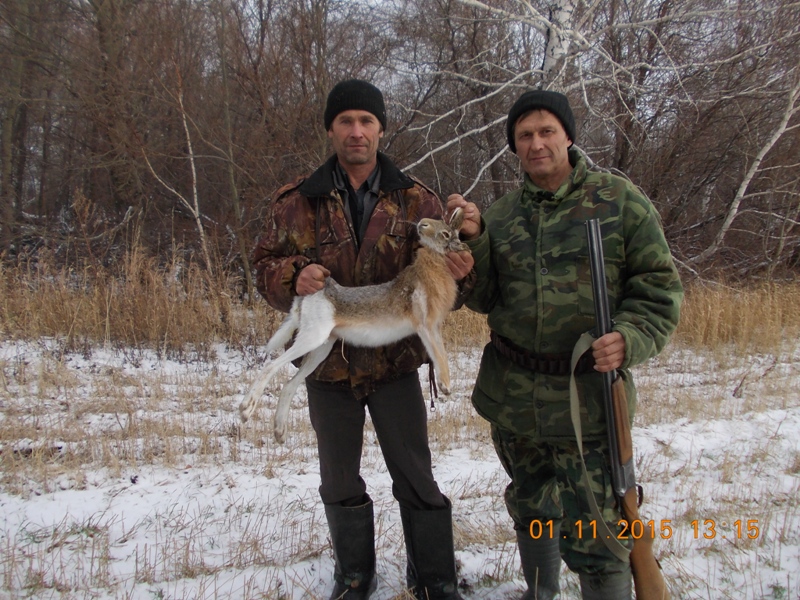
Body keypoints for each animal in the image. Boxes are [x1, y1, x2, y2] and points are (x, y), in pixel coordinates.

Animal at [239, 208, 468, 444]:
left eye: (445, 233)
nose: (422, 224)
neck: (436, 260)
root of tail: (309, 296)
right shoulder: (426, 325)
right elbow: (439, 353)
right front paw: (446, 386)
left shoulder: (431, 327)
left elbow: (440, 352)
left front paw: (445, 386)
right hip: (313, 336)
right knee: (269, 367)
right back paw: (245, 410)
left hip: (322, 347)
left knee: (288, 385)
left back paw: (279, 432)